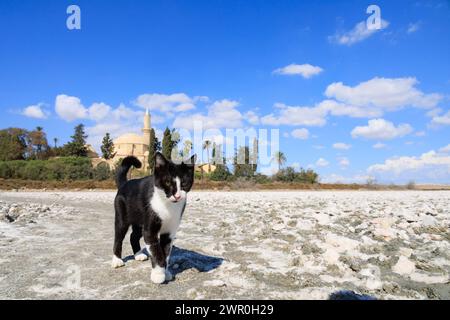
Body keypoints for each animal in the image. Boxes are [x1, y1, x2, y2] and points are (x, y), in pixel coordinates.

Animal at [110, 153, 195, 284]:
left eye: (184, 183)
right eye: (167, 182)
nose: (177, 195)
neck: (167, 205)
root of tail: (125, 184)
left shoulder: (169, 233)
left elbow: (166, 253)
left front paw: (166, 273)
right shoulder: (150, 230)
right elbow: (156, 251)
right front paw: (158, 275)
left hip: (140, 220)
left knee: (133, 236)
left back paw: (138, 255)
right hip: (122, 217)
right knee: (118, 237)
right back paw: (117, 260)